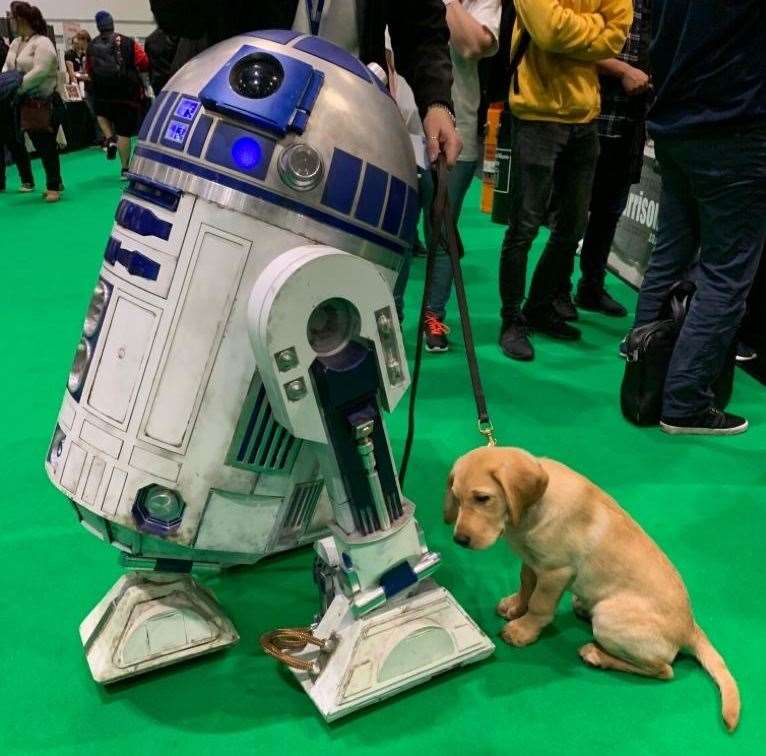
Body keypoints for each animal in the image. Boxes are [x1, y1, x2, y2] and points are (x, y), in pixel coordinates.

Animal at [448, 446, 740, 728]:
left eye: (483, 498)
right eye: (457, 497)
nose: (459, 540)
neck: (531, 511)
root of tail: (690, 628)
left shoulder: (555, 571)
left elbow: (540, 604)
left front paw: (523, 631)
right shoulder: (531, 561)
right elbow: (526, 586)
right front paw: (515, 607)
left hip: (609, 618)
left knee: (663, 670)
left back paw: (597, 655)